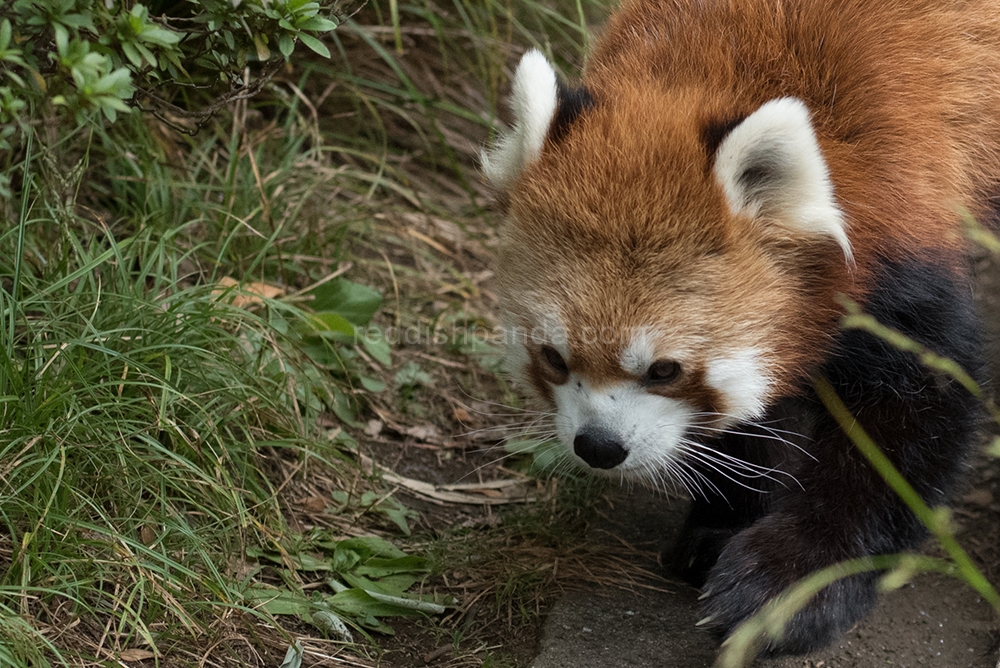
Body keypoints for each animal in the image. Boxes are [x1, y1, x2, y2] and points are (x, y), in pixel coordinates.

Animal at [480, 0, 996, 656]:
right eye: (553, 358)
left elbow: (910, 425)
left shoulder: (904, 234)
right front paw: (721, 522)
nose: (598, 447)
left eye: (665, 370)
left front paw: (790, 586)